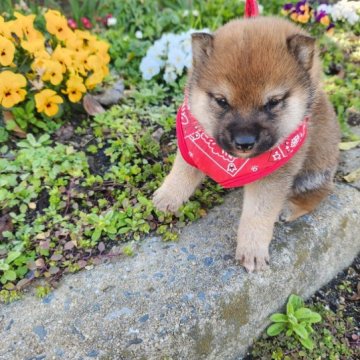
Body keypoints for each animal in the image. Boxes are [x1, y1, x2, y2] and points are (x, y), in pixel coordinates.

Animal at [153, 16, 340, 270]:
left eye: (273, 102)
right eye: (221, 101)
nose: (244, 142)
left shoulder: (274, 175)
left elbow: (258, 214)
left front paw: (252, 251)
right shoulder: (193, 141)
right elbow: (182, 171)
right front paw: (167, 197)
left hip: (315, 170)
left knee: (321, 191)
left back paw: (289, 208)